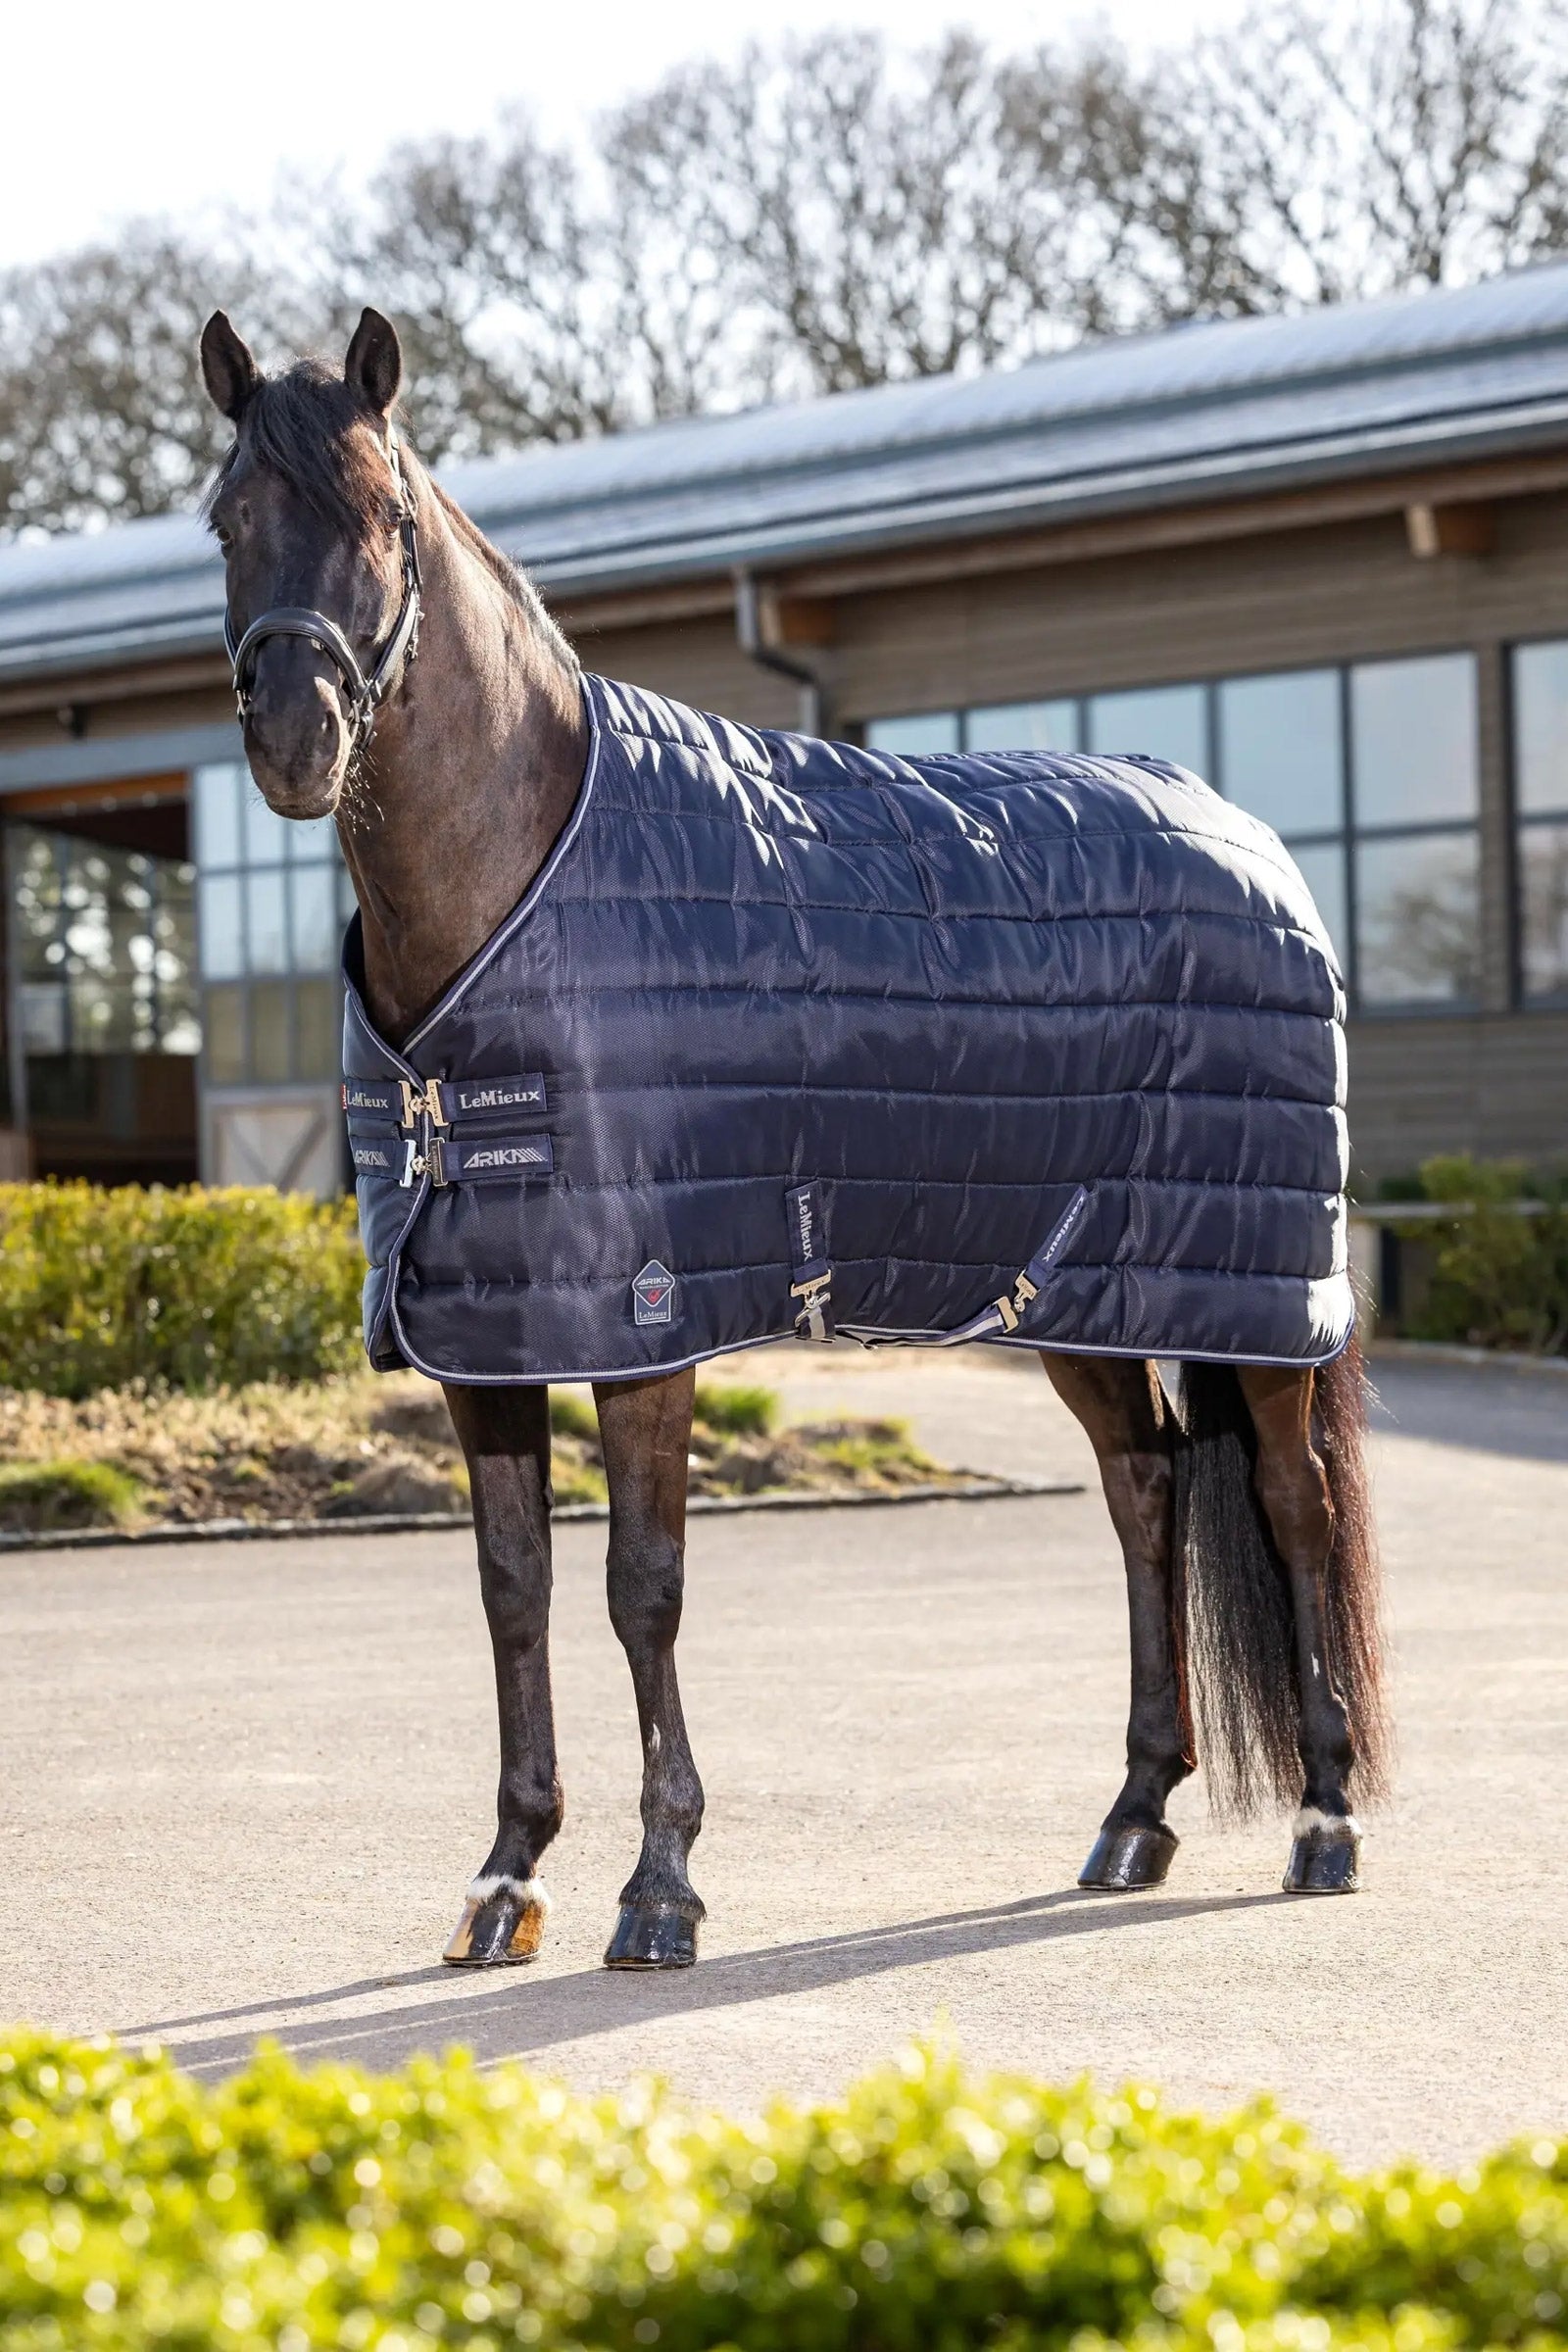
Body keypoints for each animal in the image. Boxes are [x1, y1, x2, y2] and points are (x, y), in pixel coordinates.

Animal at [198, 306, 1390, 1972]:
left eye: (386, 516)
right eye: (225, 520)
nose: (298, 736)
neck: (529, 883)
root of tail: (1248, 843)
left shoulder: (646, 1319)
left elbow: (641, 1588)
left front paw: (659, 1889)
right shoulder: (483, 1331)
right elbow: (514, 1588)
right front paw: (505, 1877)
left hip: (1257, 1299)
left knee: (1294, 1509)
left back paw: (1324, 1823)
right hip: (1073, 1291)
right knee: (1144, 1493)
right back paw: (1134, 1815)